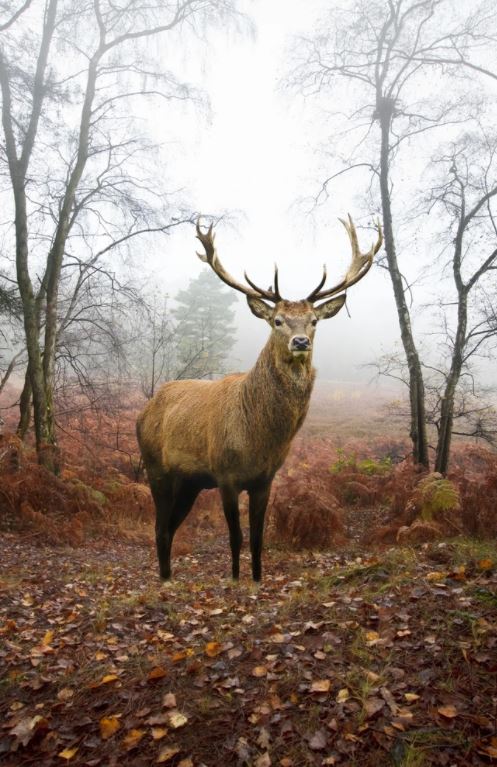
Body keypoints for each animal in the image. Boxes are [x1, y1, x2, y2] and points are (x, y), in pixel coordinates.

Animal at [136, 216, 382, 582]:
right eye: (277, 320)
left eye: (313, 321)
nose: (300, 342)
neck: (258, 438)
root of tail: (144, 411)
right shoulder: (225, 475)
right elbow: (235, 537)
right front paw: (235, 579)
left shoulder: (265, 479)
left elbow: (257, 538)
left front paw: (256, 579)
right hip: (156, 469)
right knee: (159, 527)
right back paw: (165, 580)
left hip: (189, 482)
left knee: (169, 527)